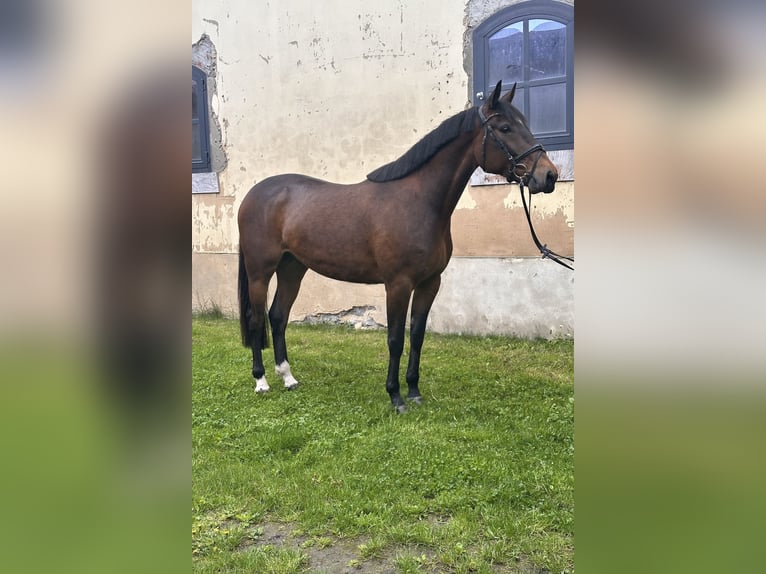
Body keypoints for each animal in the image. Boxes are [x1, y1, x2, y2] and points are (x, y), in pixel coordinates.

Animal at [238, 80, 559, 413]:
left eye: (525, 124)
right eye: (505, 128)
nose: (548, 175)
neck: (419, 202)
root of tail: (254, 194)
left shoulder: (430, 282)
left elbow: (416, 336)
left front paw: (414, 391)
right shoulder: (398, 284)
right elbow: (395, 339)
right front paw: (395, 396)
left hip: (292, 267)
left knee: (278, 316)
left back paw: (288, 377)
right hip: (260, 271)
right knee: (256, 317)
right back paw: (261, 381)